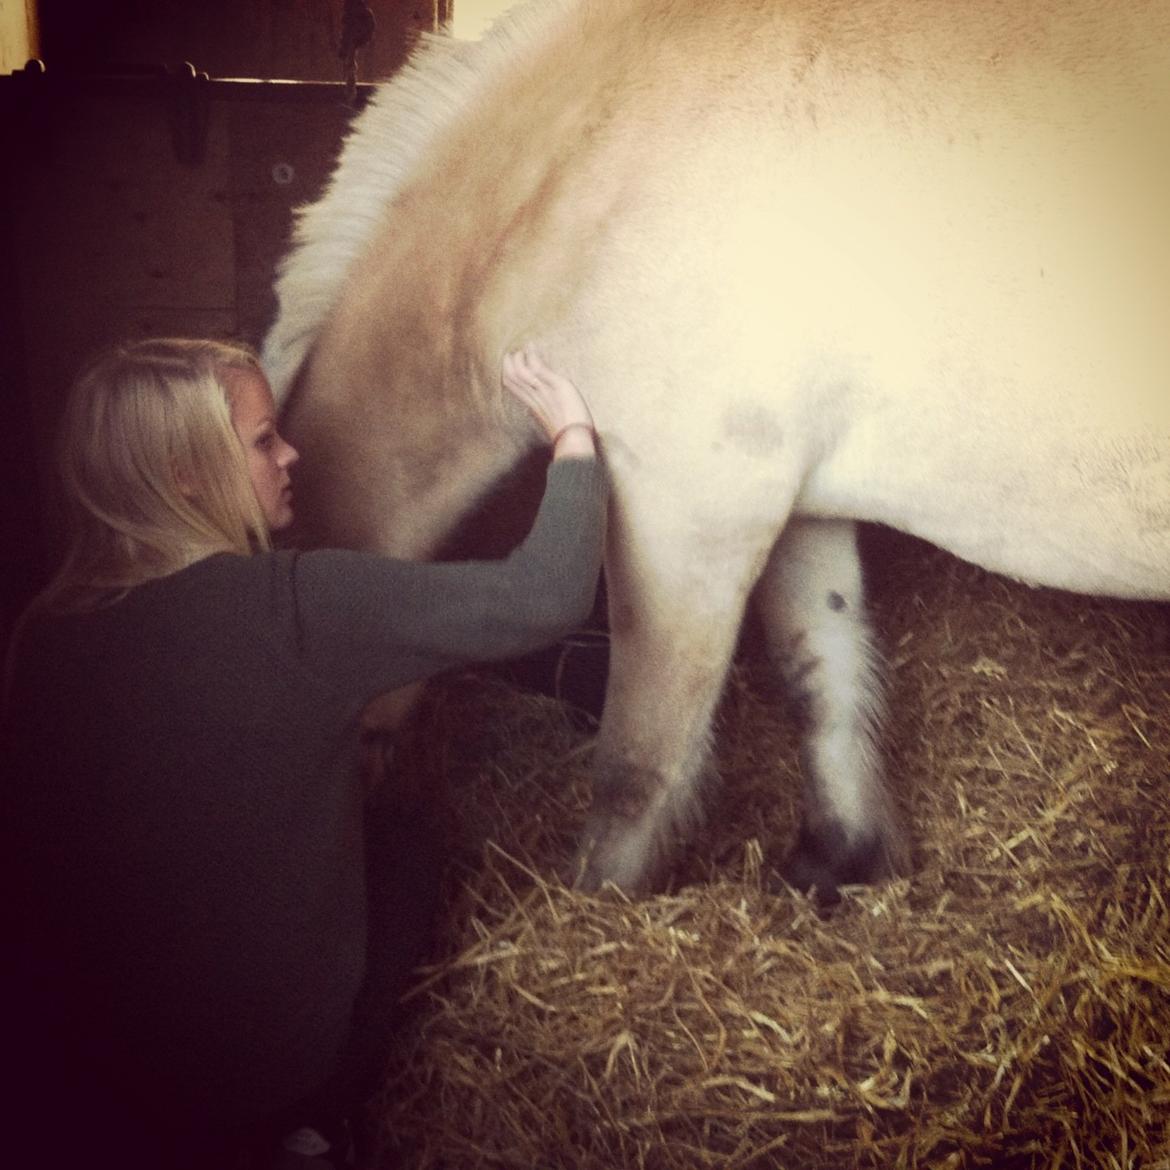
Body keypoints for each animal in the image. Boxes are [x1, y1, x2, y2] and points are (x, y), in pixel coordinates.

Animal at [263, 0, 1170, 893]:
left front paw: (602, 896)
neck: (597, 174)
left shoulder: (680, 518)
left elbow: (640, 759)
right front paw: (837, 855)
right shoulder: (793, 504)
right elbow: (819, 672)